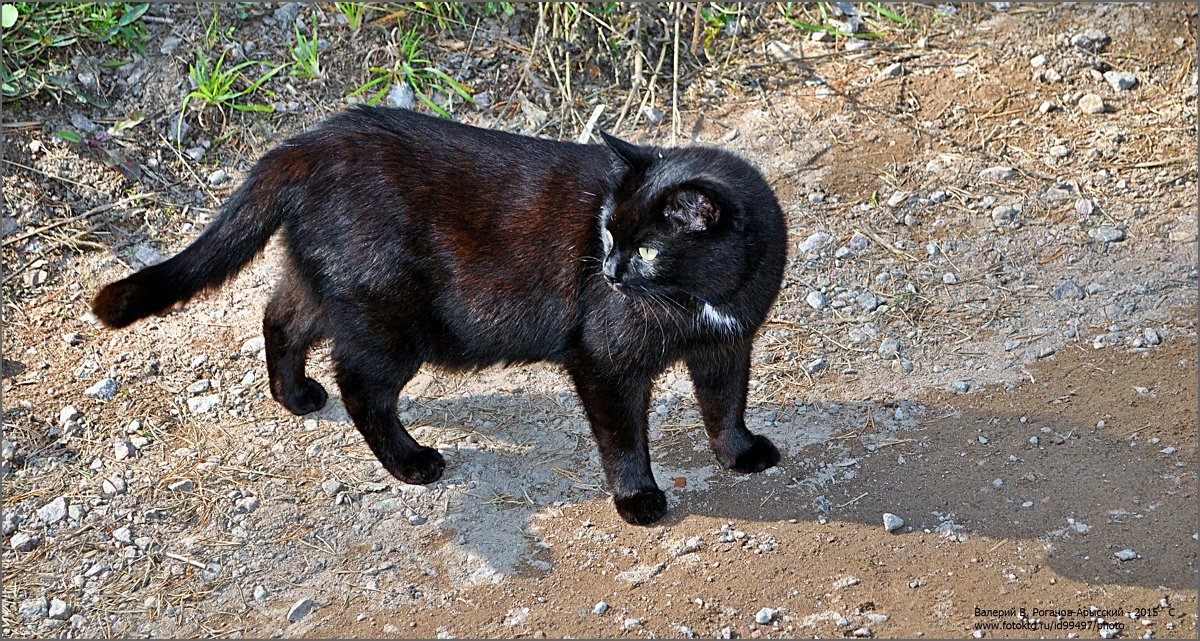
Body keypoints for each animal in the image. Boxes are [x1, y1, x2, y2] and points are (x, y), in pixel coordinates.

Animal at [93, 106, 787, 528]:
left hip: (329, 289)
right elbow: (623, 438)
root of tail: (309, 143)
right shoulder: (605, 362)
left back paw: (295, 396)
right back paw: (411, 463)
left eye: (641, 248)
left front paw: (741, 452)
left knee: (281, 318)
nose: (610, 273)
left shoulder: (728, 343)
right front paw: (637, 498)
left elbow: (725, 404)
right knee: (361, 387)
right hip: (389, 320)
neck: (704, 296)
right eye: (609, 234)